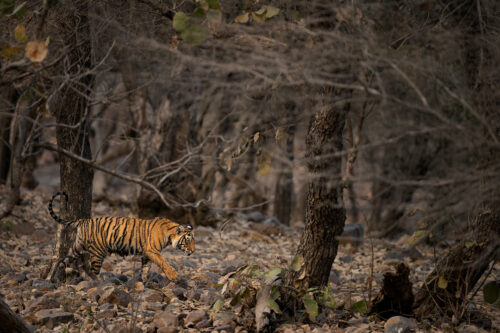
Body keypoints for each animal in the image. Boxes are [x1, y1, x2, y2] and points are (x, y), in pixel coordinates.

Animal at [47, 191, 194, 282]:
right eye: (187, 241)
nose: (192, 251)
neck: (170, 233)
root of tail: (83, 221)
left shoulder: (147, 253)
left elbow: (145, 268)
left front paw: (146, 282)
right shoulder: (152, 250)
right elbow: (164, 262)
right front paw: (174, 276)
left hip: (77, 247)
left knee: (62, 260)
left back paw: (53, 278)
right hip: (98, 251)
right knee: (92, 270)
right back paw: (99, 283)